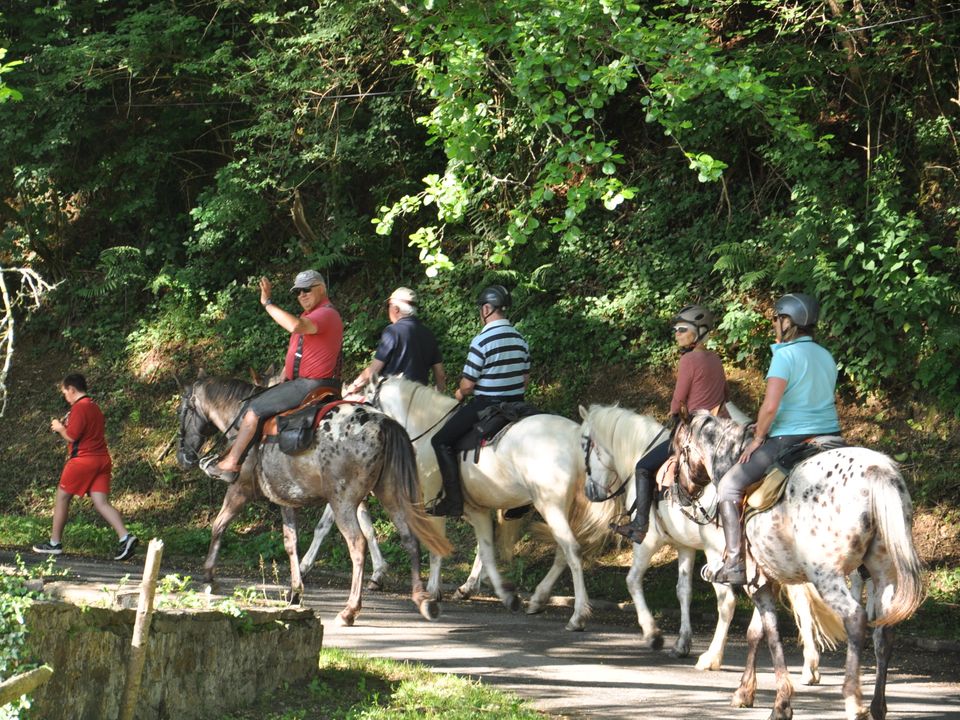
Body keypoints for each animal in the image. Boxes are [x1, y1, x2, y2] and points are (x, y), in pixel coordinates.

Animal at [177, 374, 454, 628]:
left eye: (183, 411)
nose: (183, 456)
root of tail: (384, 423)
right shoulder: (286, 500)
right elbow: (291, 543)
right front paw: (295, 591)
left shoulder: (239, 490)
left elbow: (219, 525)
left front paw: (209, 576)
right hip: (390, 493)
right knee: (410, 538)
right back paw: (423, 599)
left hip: (343, 501)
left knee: (357, 544)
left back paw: (350, 610)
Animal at [364, 376, 628, 632]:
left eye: (366, 403)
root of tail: (574, 438)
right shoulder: (475, 507)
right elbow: (485, 546)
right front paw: (471, 586)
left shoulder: (435, 504)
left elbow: (439, 548)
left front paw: (434, 590)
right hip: (563, 510)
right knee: (563, 553)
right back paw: (538, 599)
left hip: (551, 507)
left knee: (572, 551)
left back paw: (578, 615)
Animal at [672, 410, 928, 720]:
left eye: (677, 449)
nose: (678, 492)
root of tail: (877, 471)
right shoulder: (765, 579)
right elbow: (755, 633)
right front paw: (745, 692)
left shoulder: (755, 583)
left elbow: (772, 636)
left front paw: (781, 704)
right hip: (884, 574)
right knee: (885, 631)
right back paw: (878, 705)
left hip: (827, 576)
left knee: (855, 619)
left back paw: (854, 701)